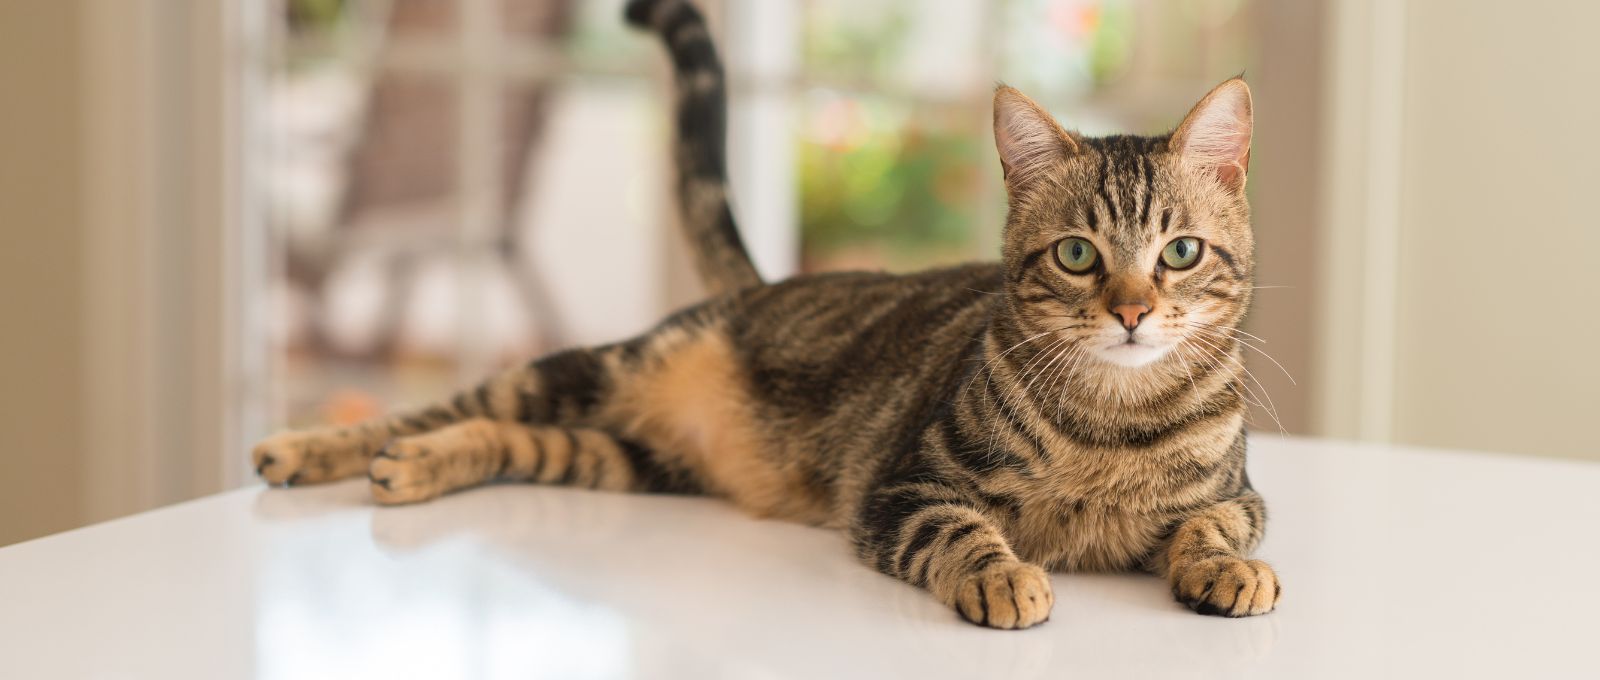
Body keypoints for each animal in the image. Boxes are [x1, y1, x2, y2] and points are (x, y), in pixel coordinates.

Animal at [256, 0, 1280, 627]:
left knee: (510, 440)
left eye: (1179, 252)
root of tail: (757, 283)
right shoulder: (904, 489)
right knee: (450, 406)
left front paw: (1228, 569)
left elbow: (1213, 527)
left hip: (627, 457)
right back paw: (318, 448)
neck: (1113, 422)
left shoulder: (1239, 494)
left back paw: (416, 468)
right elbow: (967, 533)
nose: (1133, 311)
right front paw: (1002, 576)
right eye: (1077, 256)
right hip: (597, 368)